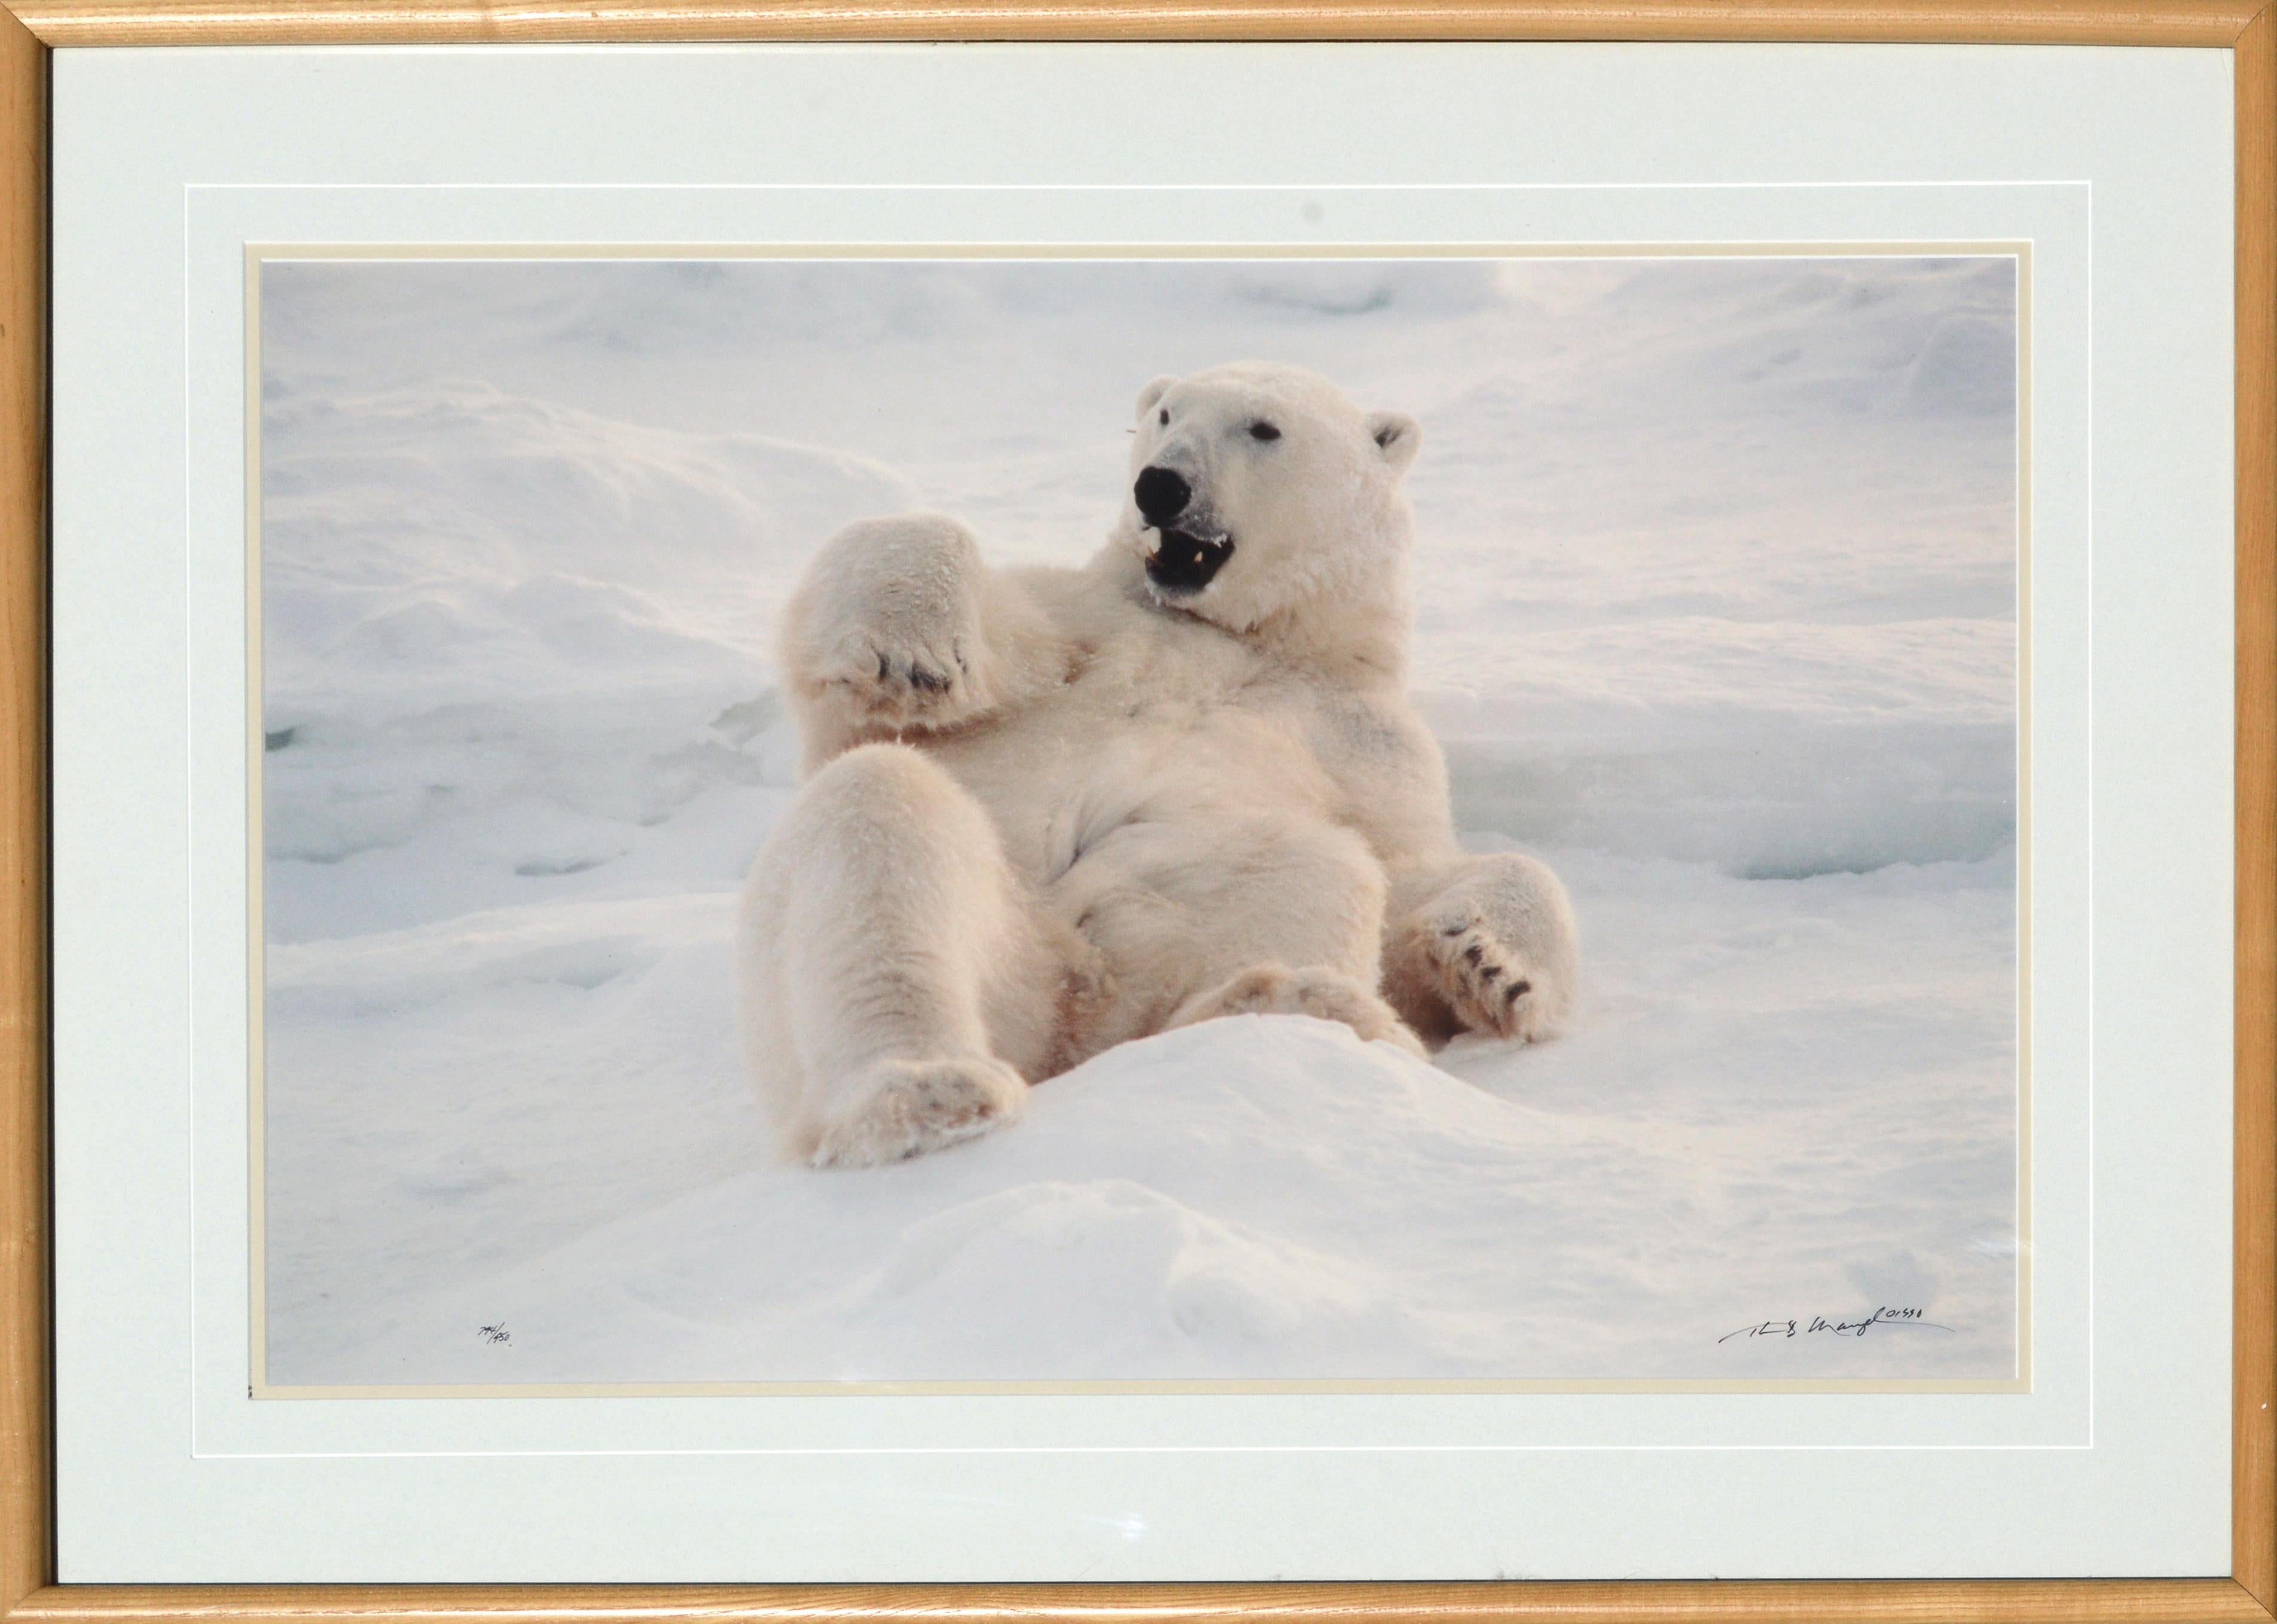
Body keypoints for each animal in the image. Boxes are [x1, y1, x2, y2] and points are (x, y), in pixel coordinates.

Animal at [737, 362, 1576, 1166]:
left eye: (1264, 427)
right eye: (1167, 413)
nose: (1161, 484)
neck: (1243, 637)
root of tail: (1070, 1025)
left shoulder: (1365, 740)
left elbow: (1409, 870)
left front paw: (1493, 965)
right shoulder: (1083, 626)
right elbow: (911, 669)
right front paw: (912, 655)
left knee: (1314, 865)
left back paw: (1282, 1003)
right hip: (1003, 957)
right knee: (881, 811)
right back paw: (922, 1091)